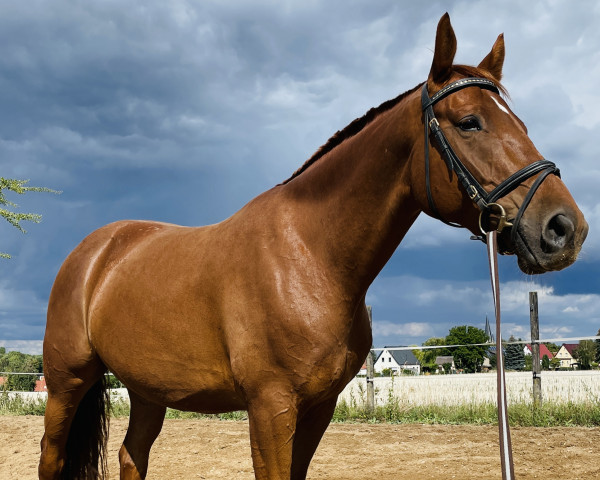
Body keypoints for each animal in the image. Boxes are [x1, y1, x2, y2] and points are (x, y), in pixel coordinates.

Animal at [39, 15, 588, 480]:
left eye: (521, 122)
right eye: (469, 121)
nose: (565, 228)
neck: (311, 258)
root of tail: (95, 251)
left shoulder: (319, 407)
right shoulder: (270, 407)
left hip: (148, 390)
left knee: (132, 456)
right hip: (67, 381)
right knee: (52, 458)